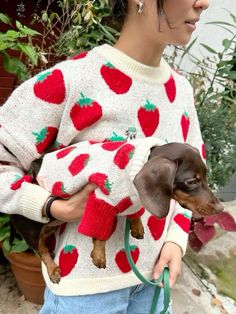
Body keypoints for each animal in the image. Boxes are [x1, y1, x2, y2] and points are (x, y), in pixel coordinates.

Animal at [9, 142, 223, 284]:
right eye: (192, 181)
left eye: (205, 176)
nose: (220, 209)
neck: (137, 163)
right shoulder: (101, 197)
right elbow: (100, 230)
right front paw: (98, 254)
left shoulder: (132, 197)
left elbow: (134, 212)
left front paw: (136, 226)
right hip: (32, 229)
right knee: (41, 250)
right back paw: (52, 268)